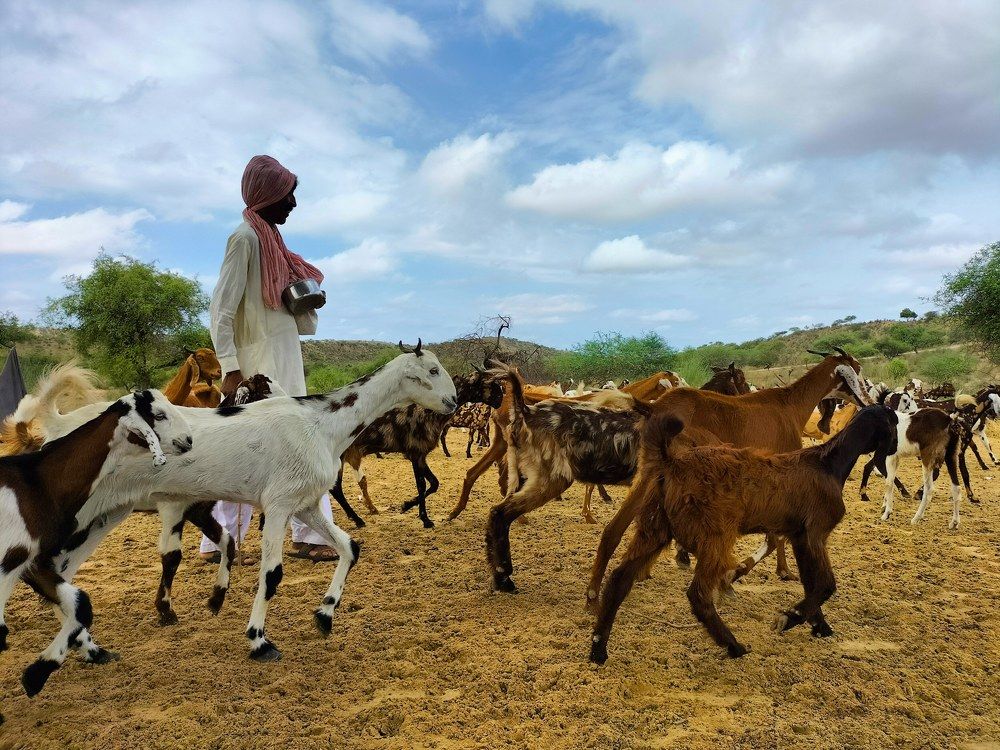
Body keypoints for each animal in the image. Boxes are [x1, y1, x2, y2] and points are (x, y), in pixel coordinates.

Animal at [0, 390, 192, 700]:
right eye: (159, 414)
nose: (188, 440)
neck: (37, 484)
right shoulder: (8, 564)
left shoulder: (32, 562)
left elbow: (81, 604)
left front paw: (35, 675)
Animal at [56, 343, 456, 663]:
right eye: (433, 370)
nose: (453, 401)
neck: (320, 425)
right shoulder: (278, 506)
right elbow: (272, 573)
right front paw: (259, 640)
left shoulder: (306, 506)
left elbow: (349, 548)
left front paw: (325, 615)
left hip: (108, 514)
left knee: (63, 574)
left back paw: (89, 649)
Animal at [331, 368, 503, 529]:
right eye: (488, 382)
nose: (501, 399)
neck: (428, 410)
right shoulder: (415, 453)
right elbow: (422, 486)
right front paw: (425, 519)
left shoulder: (421, 456)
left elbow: (434, 483)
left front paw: (406, 506)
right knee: (336, 488)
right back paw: (357, 519)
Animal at [587, 348, 871, 607]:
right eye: (857, 368)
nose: (868, 399)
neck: (789, 405)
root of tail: (655, 407)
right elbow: (774, 536)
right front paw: (737, 576)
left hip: (652, 471)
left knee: (614, 528)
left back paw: (594, 594)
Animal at [588, 405, 898, 664]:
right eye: (894, 423)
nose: (896, 447)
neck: (828, 464)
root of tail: (671, 463)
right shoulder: (815, 533)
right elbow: (826, 584)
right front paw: (790, 617)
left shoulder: (799, 536)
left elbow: (811, 583)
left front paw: (818, 625)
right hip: (715, 535)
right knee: (698, 594)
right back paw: (733, 646)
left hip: (655, 529)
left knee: (619, 579)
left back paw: (598, 648)